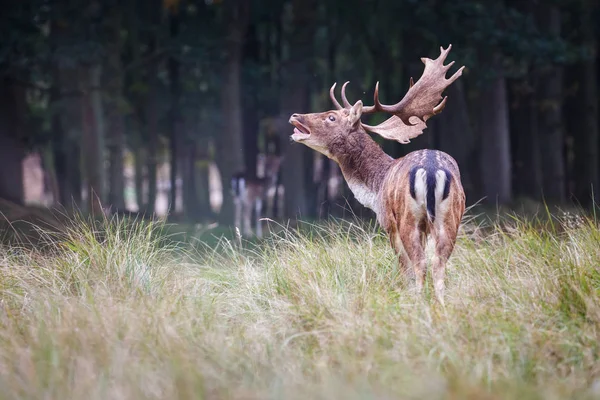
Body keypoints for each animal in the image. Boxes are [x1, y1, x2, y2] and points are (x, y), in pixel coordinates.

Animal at [288, 45, 466, 304]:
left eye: (331, 117)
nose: (295, 116)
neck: (376, 186)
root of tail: (433, 172)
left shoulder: (388, 223)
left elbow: (404, 268)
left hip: (409, 219)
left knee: (420, 264)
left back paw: (417, 303)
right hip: (450, 217)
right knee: (439, 264)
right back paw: (440, 305)